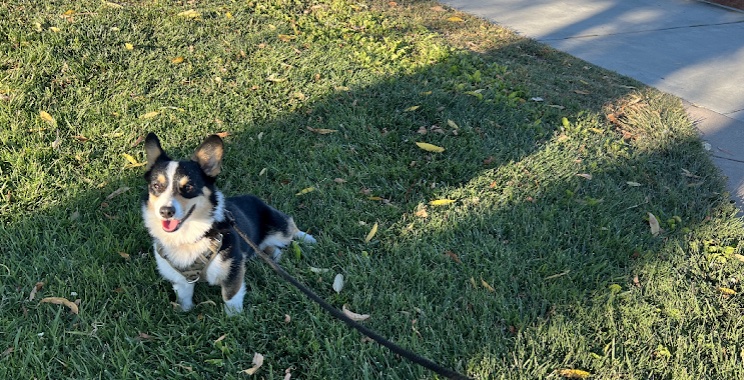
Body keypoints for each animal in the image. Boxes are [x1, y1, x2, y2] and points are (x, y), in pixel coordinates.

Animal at [141, 132, 316, 316]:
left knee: (290, 226)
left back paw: (308, 239)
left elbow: (231, 295)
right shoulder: (180, 279)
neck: (189, 236)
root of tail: (254, 198)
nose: (166, 211)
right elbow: (184, 295)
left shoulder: (233, 268)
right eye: (156, 186)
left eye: (188, 187)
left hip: (278, 228)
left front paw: (234, 317)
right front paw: (185, 310)